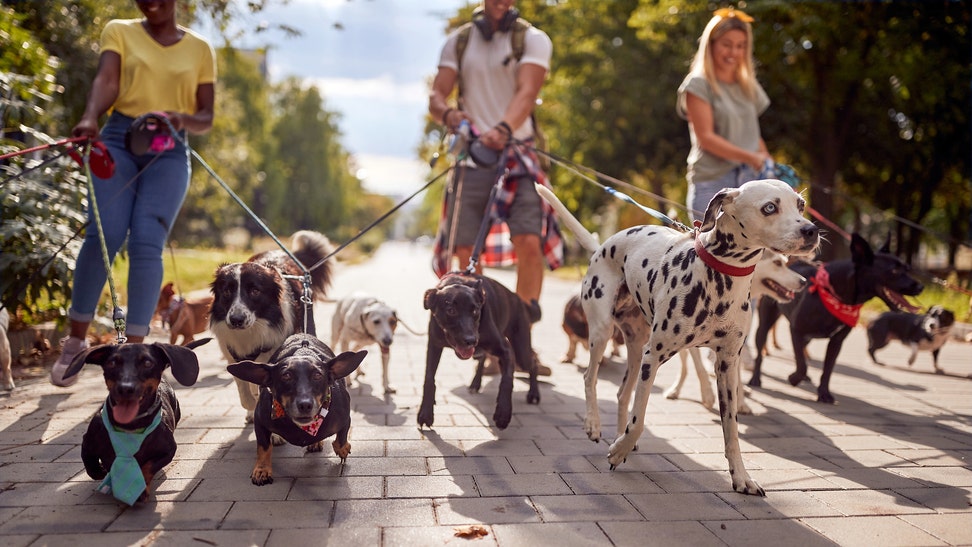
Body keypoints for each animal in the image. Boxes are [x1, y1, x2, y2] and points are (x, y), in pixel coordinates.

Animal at [63, 340, 209, 508]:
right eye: (112, 363)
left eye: (147, 363)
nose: (125, 388)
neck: (130, 427)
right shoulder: (87, 442)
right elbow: (90, 465)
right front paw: (102, 471)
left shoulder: (168, 450)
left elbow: (147, 466)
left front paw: (141, 490)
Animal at [230, 332, 366, 486]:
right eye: (286, 376)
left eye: (318, 375)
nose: (305, 405)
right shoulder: (259, 420)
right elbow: (263, 447)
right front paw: (262, 470)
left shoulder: (345, 418)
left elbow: (341, 437)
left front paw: (342, 449)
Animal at [418, 272, 540, 430]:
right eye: (451, 311)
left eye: (475, 310)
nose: (471, 340)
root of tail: (518, 299)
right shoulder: (434, 346)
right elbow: (429, 379)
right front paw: (426, 413)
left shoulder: (506, 350)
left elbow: (507, 381)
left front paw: (503, 413)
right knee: (483, 358)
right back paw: (476, 383)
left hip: (521, 353)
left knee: (533, 362)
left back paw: (534, 393)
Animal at [748, 233, 924, 404]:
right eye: (894, 271)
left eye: (907, 269)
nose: (921, 287)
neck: (835, 293)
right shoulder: (796, 330)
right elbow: (802, 365)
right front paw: (793, 378)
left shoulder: (836, 341)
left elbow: (827, 369)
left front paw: (824, 394)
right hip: (765, 324)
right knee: (761, 352)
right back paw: (755, 379)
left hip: (807, 338)